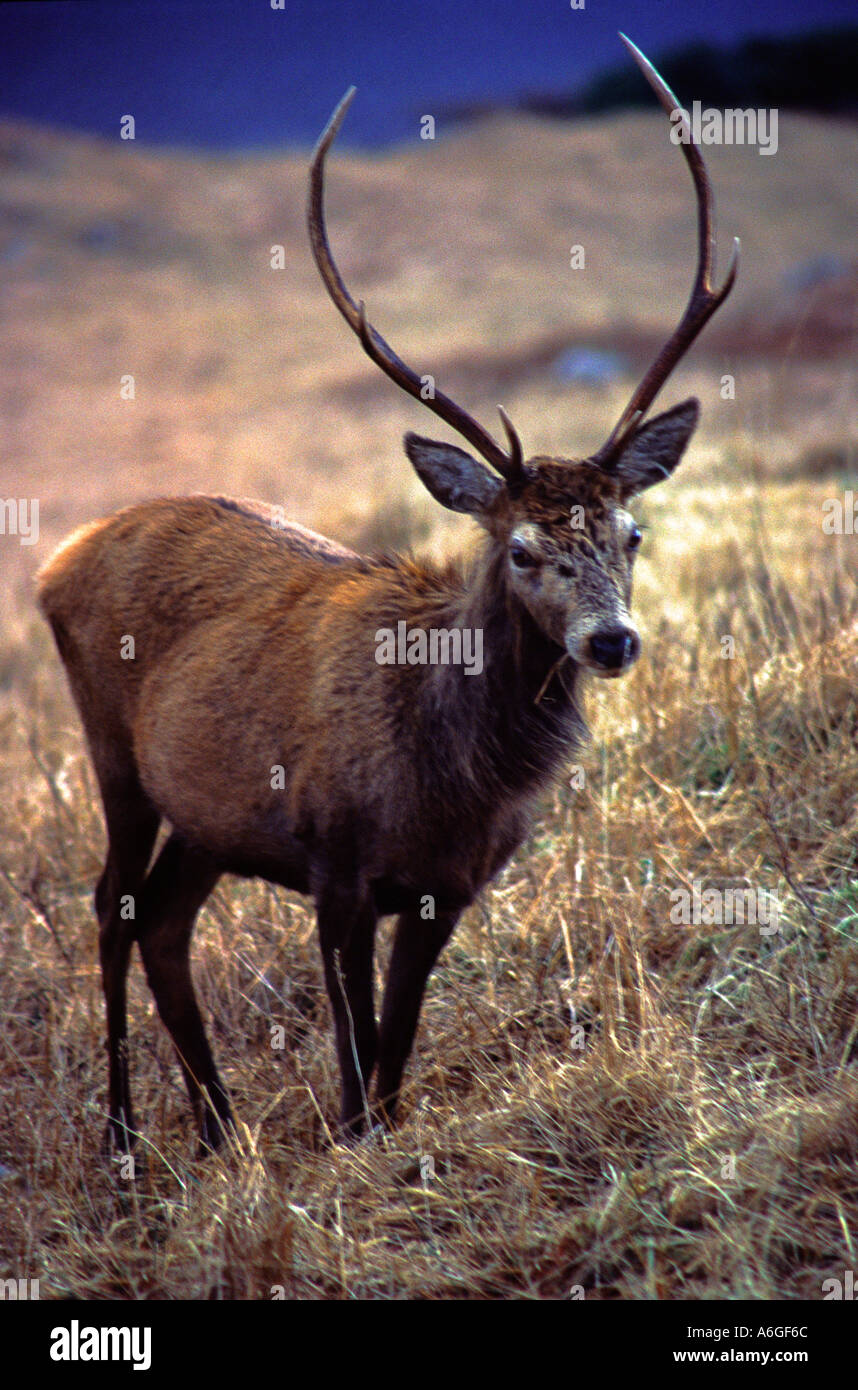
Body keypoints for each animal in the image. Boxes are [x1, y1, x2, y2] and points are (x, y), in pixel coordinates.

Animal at [37, 36, 738, 1156]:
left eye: (633, 534)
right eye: (522, 549)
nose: (612, 641)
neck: (453, 779)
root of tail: (58, 559)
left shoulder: (449, 886)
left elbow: (397, 1056)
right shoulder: (334, 858)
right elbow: (356, 1060)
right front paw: (349, 1146)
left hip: (209, 816)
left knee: (167, 918)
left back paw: (219, 1127)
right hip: (113, 750)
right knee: (114, 906)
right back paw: (123, 1136)